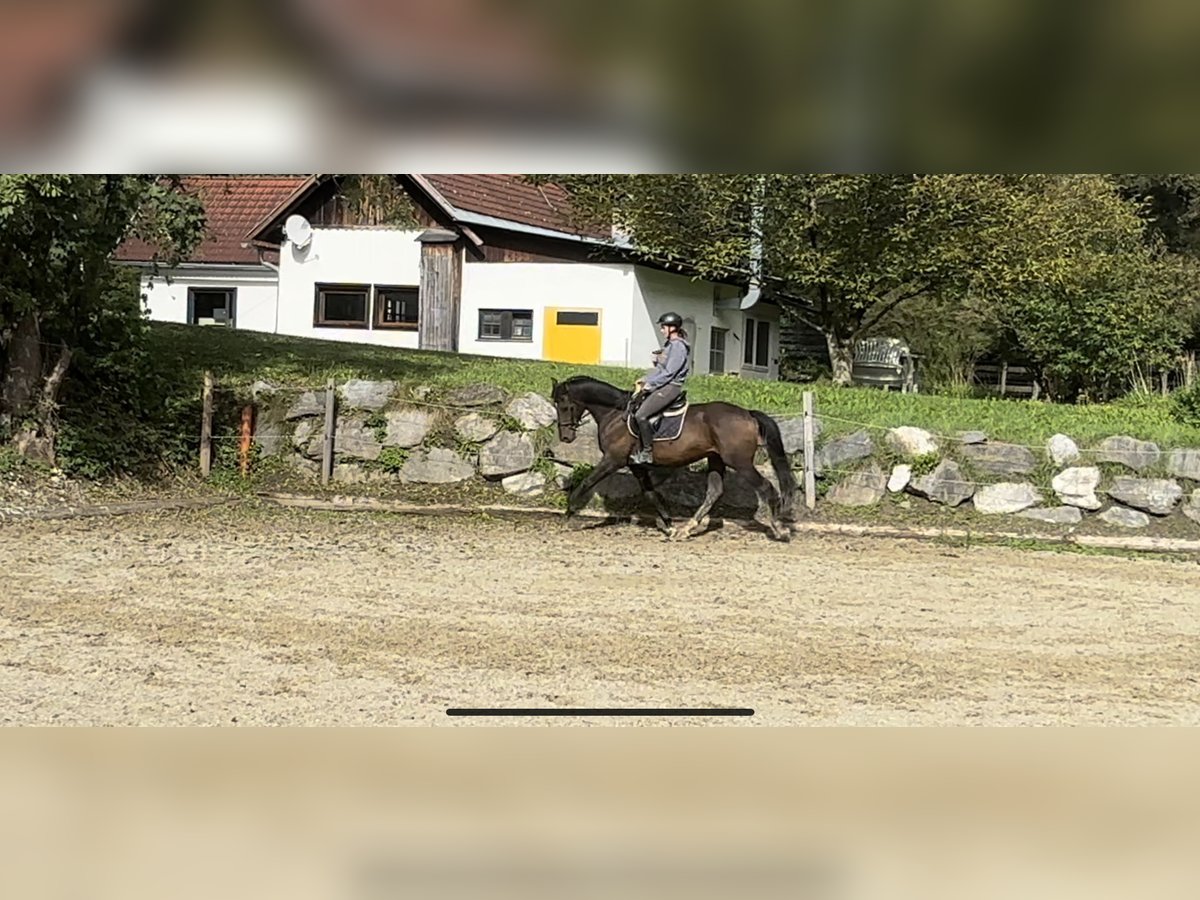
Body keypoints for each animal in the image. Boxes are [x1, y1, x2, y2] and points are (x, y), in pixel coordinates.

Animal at [549, 374, 796, 542]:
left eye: (564, 405)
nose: (566, 437)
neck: (615, 414)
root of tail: (747, 414)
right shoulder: (635, 464)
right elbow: (651, 493)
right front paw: (669, 525)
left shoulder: (613, 460)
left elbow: (586, 482)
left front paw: (569, 514)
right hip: (715, 459)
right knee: (714, 492)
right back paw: (686, 528)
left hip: (740, 462)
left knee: (766, 487)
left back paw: (779, 528)